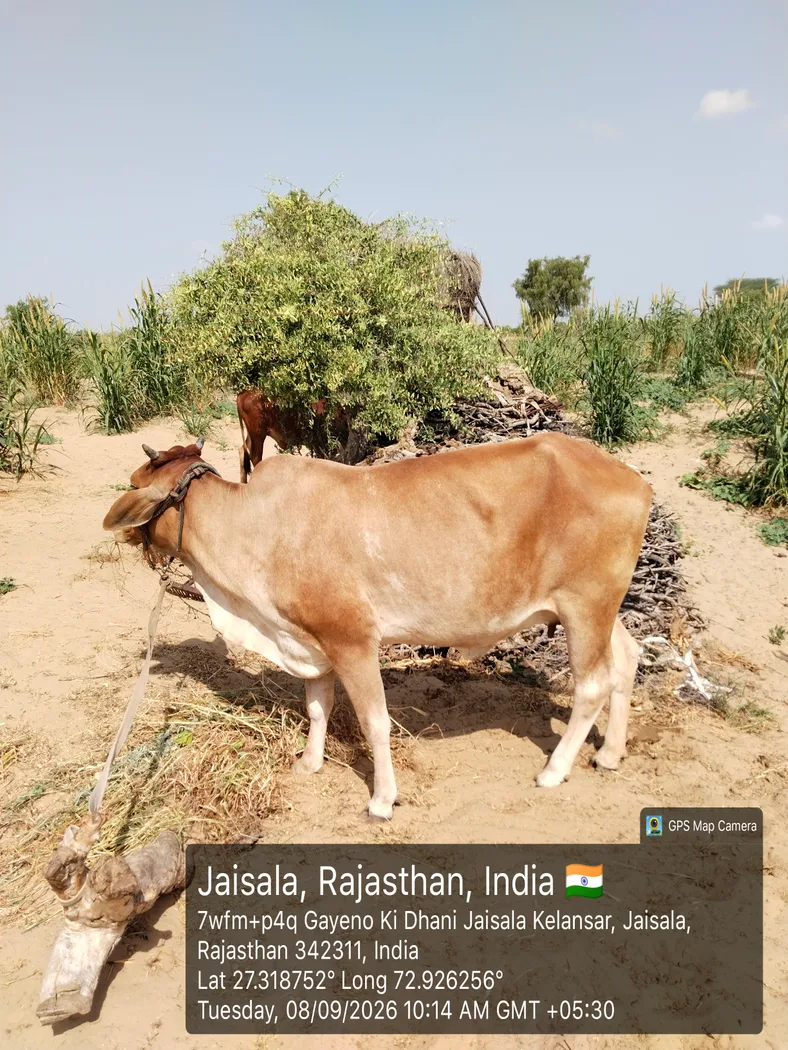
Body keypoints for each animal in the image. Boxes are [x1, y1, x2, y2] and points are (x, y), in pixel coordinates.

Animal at [103, 432, 651, 820]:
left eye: (132, 482)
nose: (120, 532)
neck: (259, 527)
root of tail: (634, 479)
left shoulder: (353, 641)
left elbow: (375, 722)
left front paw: (383, 800)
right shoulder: (313, 643)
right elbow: (317, 708)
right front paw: (310, 762)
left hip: (584, 606)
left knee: (592, 685)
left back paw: (554, 770)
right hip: (599, 610)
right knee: (628, 658)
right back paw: (610, 754)